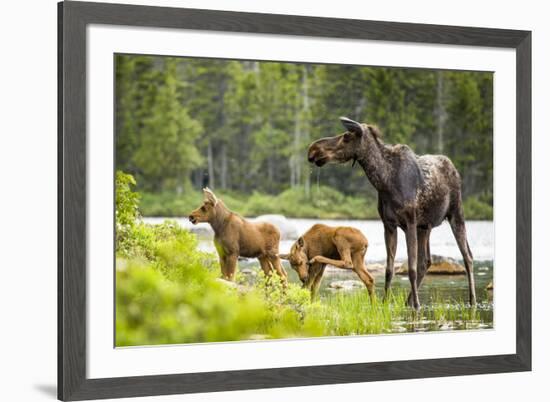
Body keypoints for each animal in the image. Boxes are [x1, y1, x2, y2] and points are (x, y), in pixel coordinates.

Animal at [308, 118, 476, 310]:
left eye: (346, 137)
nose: (313, 149)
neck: (384, 182)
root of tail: (454, 168)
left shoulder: (410, 222)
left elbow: (410, 268)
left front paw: (417, 305)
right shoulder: (388, 224)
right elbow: (390, 269)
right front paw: (385, 302)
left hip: (456, 213)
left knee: (467, 256)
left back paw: (471, 300)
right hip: (425, 227)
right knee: (426, 261)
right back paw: (408, 301)